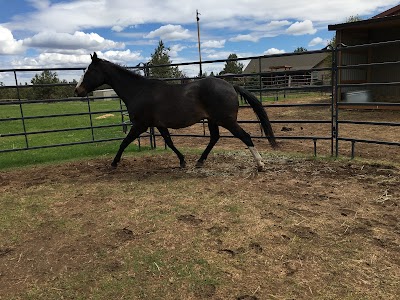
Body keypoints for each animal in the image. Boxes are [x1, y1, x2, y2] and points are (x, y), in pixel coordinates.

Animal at [75, 52, 276, 170]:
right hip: (213, 120)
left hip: (226, 120)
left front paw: (114, 163)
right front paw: (182, 161)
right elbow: (169, 142)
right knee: (214, 138)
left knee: (245, 136)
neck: (139, 91)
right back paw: (199, 162)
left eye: (89, 71)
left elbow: (124, 143)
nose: (77, 91)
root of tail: (231, 85)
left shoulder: (140, 125)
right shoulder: (158, 125)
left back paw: (260, 165)